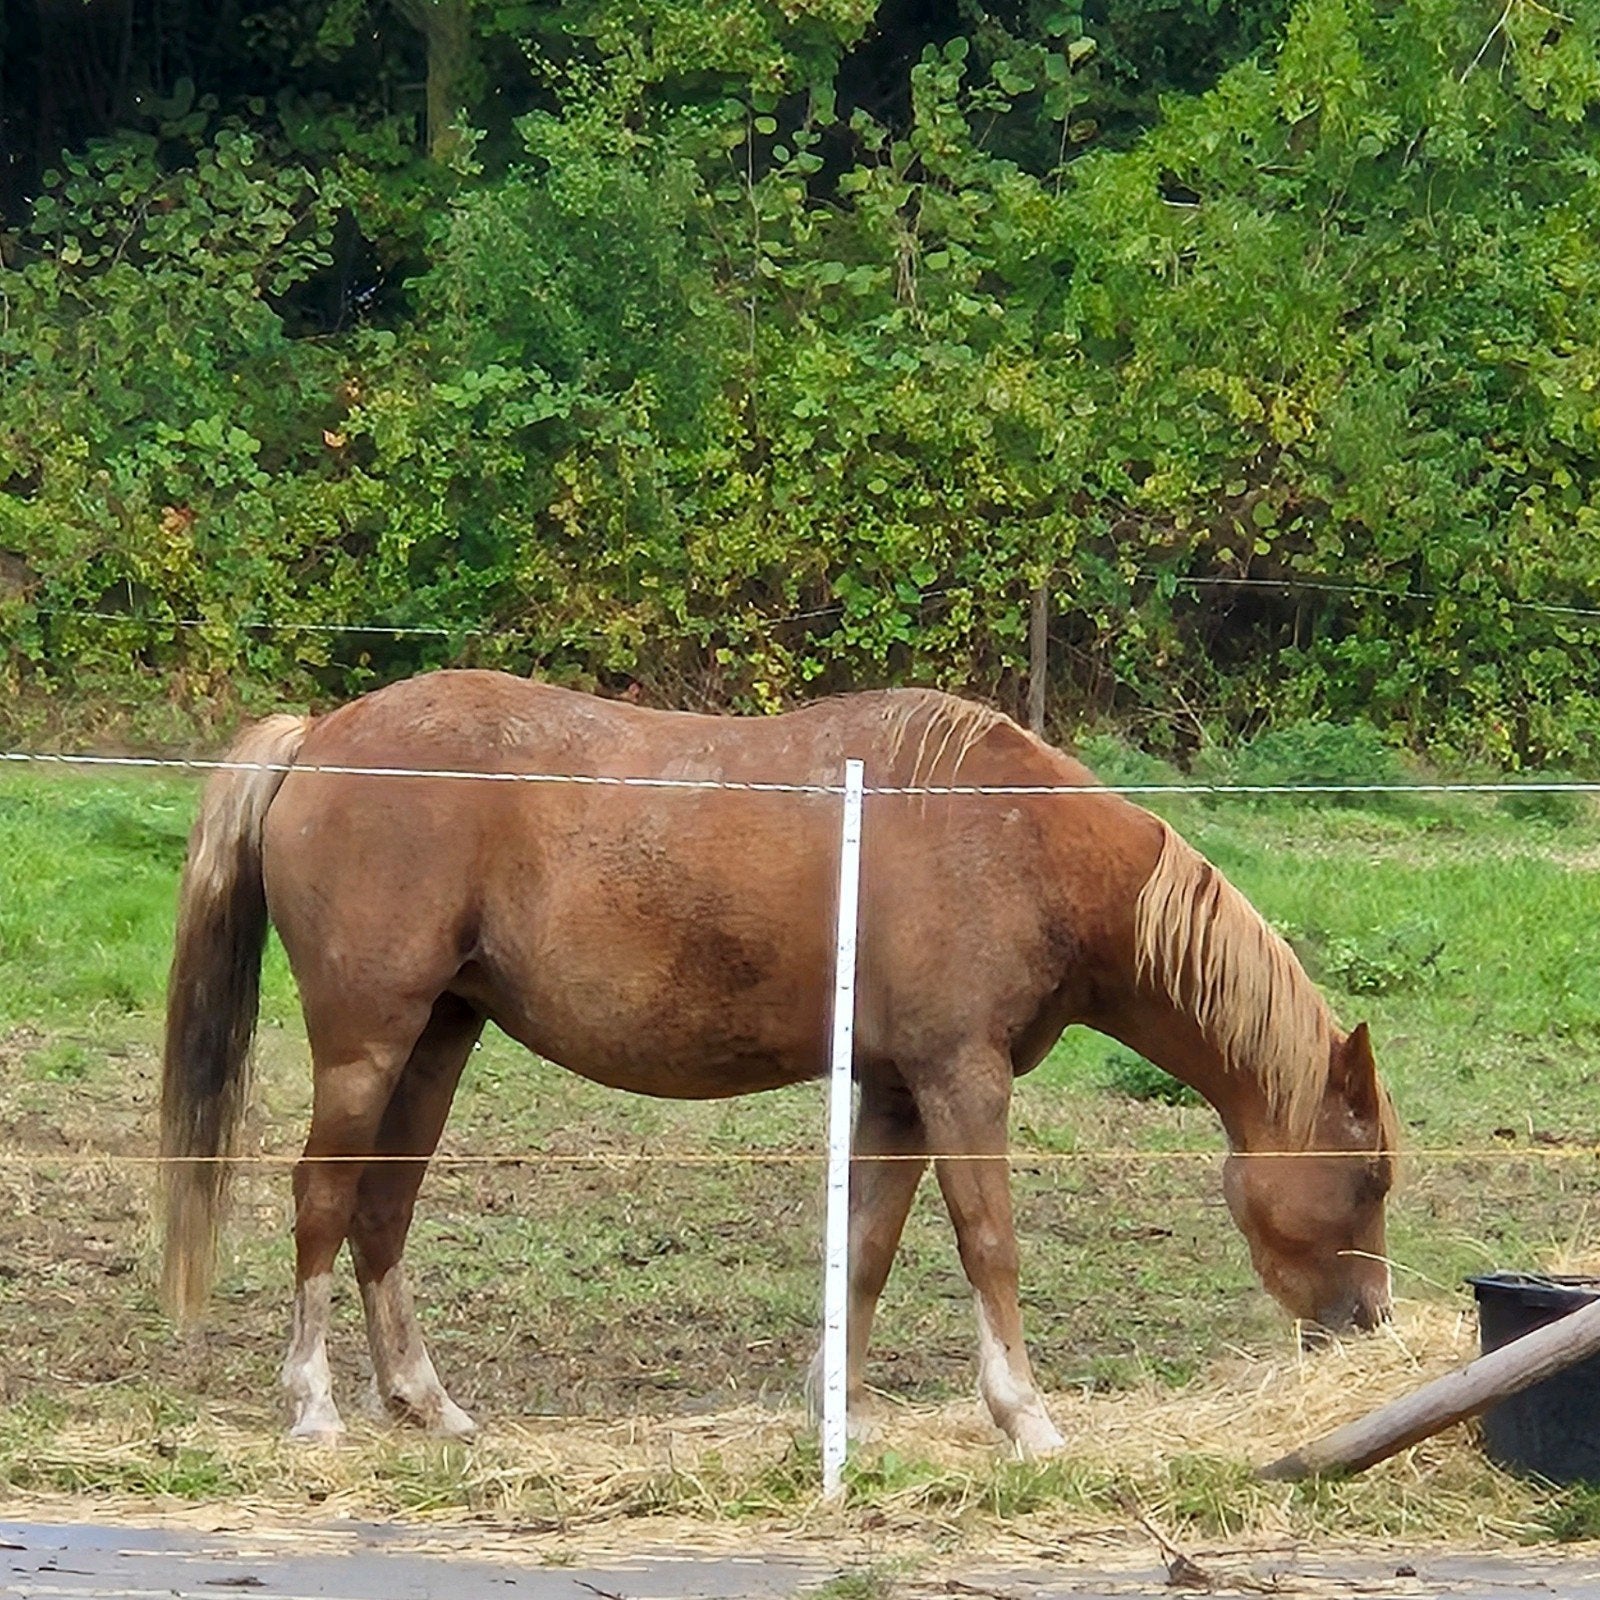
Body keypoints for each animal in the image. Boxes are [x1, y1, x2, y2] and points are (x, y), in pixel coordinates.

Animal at [160, 671, 1397, 1452]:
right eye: (1371, 1175)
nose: (1370, 1324)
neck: (1015, 839)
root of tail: (320, 736)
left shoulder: (896, 1092)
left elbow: (866, 1249)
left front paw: (833, 1410)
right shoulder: (961, 1079)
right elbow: (988, 1245)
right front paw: (1026, 1417)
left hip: (436, 1044)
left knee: (382, 1213)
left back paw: (427, 1404)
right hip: (366, 1046)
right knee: (322, 1202)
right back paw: (313, 1406)